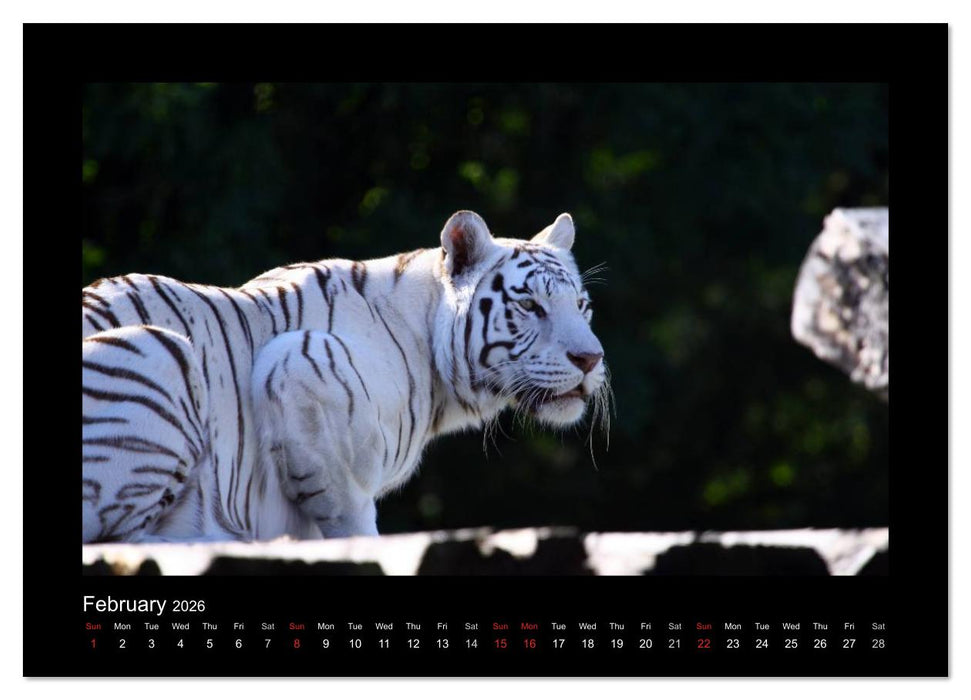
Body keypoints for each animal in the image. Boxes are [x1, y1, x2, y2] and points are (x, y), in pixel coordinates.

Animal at [82, 210, 609, 543]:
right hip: (163, 351)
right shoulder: (300, 366)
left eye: (582, 305)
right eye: (531, 305)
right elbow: (350, 520)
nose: (591, 358)